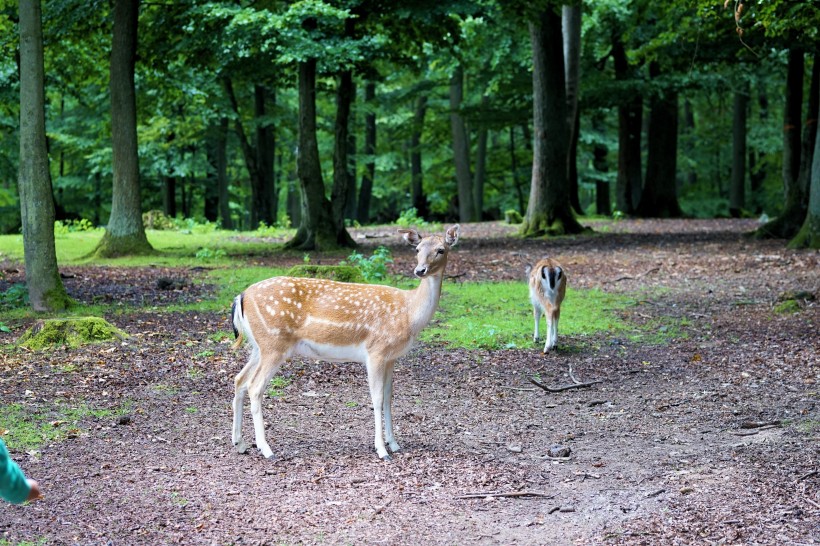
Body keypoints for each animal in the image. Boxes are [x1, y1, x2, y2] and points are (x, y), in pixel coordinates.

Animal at [231, 224, 462, 460]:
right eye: (417, 249)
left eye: (441, 250)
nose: (420, 270)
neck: (409, 314)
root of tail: (241, 296)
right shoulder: (376, 350)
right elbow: (377, 398)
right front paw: (381, 450)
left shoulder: (391, 357)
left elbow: (389, 398)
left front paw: (394, 444)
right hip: (273, 344)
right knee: (254, 387)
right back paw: (266, 448)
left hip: (258, 346)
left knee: (240, 380)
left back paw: (240, 443)